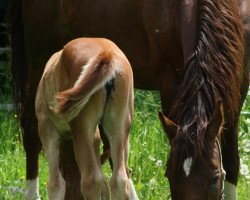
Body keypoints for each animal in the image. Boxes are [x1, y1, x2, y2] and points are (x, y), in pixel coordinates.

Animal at [34, 37, 138, 198]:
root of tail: (107, 54)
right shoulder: (95, 137)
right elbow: (104, 182)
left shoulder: (46, 129)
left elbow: (55, 183)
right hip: (119, 128)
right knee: (119, 178)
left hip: (81, 127)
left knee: (91, 180)